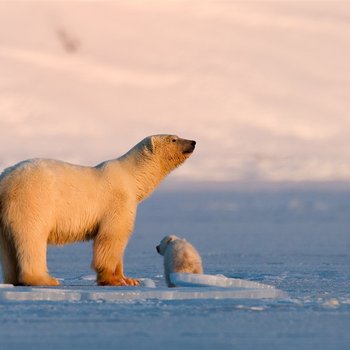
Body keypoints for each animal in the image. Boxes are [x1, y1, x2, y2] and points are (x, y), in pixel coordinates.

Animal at [0, 135, 197, 286]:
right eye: (173, 139)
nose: (193, 142)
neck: (131, 177)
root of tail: (5, 180)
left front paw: (130, 279)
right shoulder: (118, 201)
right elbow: (112, 237)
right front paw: (115, 280)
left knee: (8, 246)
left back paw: (13, 279)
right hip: (33, 200)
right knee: (32, 237)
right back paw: (44, 279)